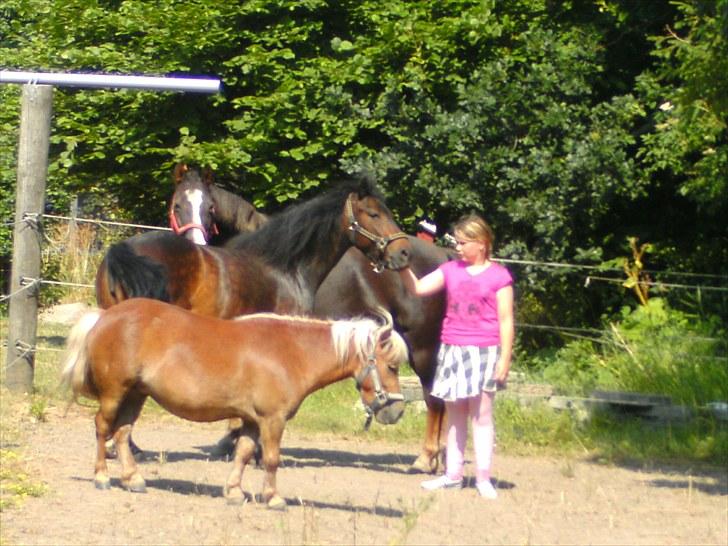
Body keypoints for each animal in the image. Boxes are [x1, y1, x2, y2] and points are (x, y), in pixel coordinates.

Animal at [61, 298, 408, 510]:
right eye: (392, 366)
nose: (397, 410)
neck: (291, 353)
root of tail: (105, 315)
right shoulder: (272, 420)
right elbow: (271, 459)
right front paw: (273, 498)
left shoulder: (252, 420)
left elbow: (242, 453)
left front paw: (234, 492)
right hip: (115, 392)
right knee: (103, 427)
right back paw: (102, 477)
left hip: (136, 394)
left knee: (121, 433)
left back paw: (133, 479)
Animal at [168, 172, 454, 473]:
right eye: (177, 205)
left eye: (210, 208)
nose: (402, 253)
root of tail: (442, 256)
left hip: (422, 346)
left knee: (433, 398)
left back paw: (426, 458)